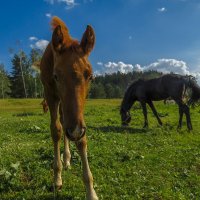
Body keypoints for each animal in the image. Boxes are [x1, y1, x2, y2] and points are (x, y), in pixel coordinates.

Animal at [38, 16, 97, 200]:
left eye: (90, 76)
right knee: (62, 125)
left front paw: (91, 191)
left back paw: (67, 159)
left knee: (65, 123)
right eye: (56, 76)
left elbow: (82, 141)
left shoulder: (78, 118)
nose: (75, 131)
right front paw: (57, 178)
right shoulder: (51, 95)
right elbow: (56, 130)